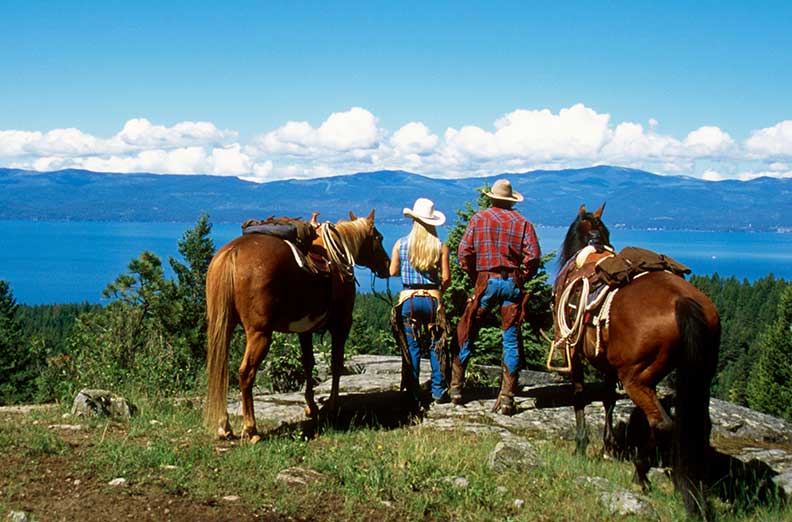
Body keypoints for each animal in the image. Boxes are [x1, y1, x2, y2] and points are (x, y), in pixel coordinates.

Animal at [204, 209, 390, 440]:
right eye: (379, 238)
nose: (388, 265)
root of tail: (233, 252)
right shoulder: (341, 324)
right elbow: (336, 364)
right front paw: (332, 405)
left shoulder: (305, 330)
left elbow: (308, 363)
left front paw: (311, 406)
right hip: (260, 333)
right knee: (246, 372)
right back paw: (251, 429)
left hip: (222, 327)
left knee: (220, 371)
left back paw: (225, 426)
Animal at [552, 203, 720, 516]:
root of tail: (682, 301)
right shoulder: (607, 362)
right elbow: (607, 398)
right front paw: (607, 447)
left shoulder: (573, 350)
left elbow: (579, 394)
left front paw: (582, 445)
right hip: (701, 374)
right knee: (698, 425)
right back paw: (691, 485)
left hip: (636, 379)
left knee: (662, 423)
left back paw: (641, 475)